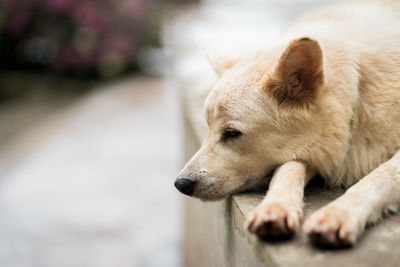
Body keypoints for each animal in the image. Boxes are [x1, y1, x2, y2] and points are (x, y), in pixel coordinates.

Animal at [174, 0, 400, 248]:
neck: (358, 93)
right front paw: (276, 207)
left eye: (232, 133)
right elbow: (287, 169)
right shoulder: (309, 149)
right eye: (208, 127)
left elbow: (381, 176)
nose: (181, 184)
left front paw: (339, 213)